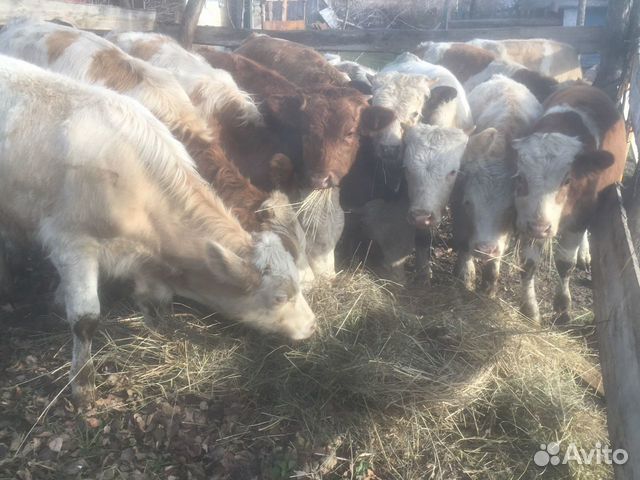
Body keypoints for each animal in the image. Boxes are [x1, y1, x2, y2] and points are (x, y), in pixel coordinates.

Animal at [452, 75, 543, 297]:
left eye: (510, 208)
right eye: (468, 203)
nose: (485, 249)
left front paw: (490, 284)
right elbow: (463, 240)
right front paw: (466, 275)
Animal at [512, 84, 627, 323]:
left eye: (567, 180)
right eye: (520, 178)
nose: (540, 228)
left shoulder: (581, 215)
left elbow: (565, 263)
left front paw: (563, 306)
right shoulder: (530, 220)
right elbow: (528, 263)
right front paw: (529, 308)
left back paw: (584, 254)